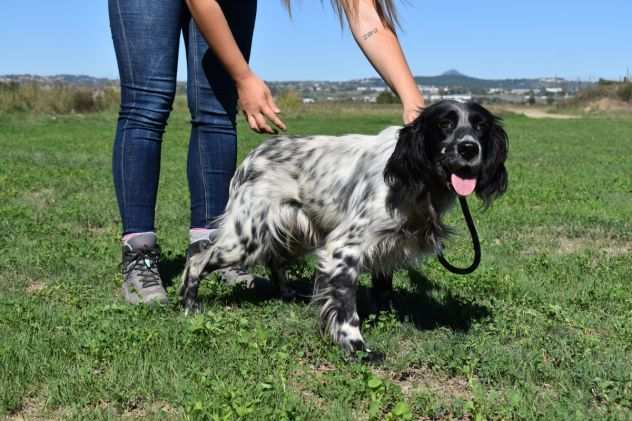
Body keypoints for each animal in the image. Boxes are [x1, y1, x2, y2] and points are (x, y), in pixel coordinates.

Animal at [183, 100, 508, 352]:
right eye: (445, 124)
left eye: (480, 126)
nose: (469, 148)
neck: (417, 182)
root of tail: (252, 156)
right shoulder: (343, 247)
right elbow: (345, 306)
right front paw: (355, 345)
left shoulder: (387, 244)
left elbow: (382, 289)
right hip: (247, 236)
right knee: (198, 257)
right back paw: (189, 305)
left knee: (274, 261)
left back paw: (287, 294)